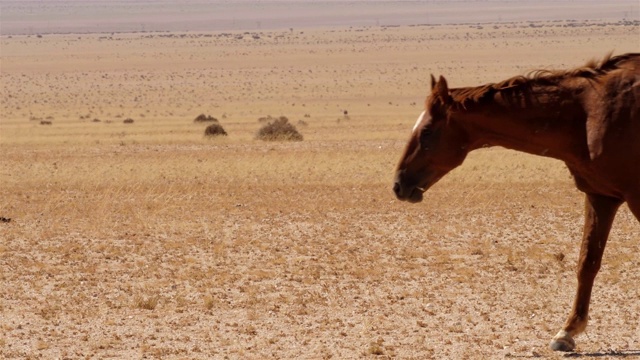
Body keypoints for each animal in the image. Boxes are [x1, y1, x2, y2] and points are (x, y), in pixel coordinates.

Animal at [392, 53, 636, 352]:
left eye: (426, 131)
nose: (399, 184)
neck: (589, 113)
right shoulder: (601, 196)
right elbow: (587, 262)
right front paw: (567, 331)